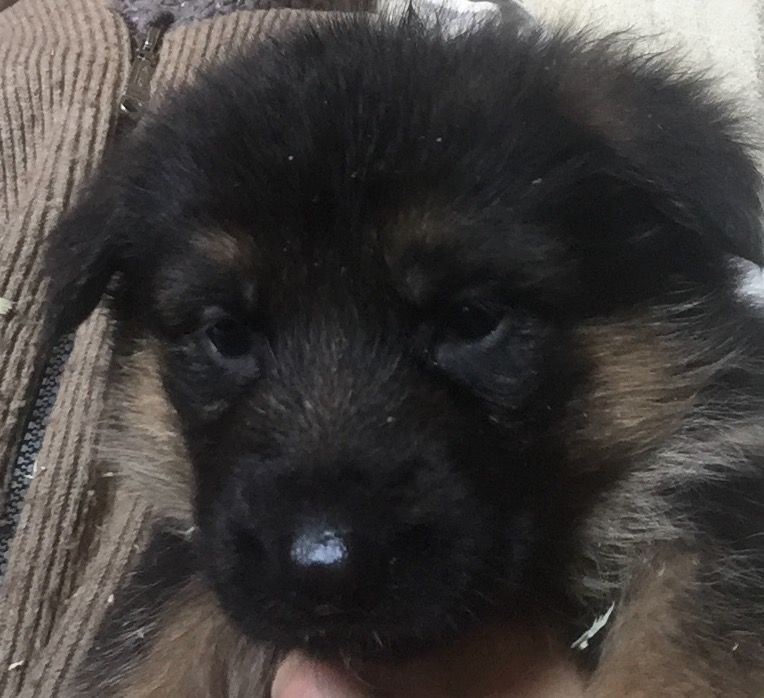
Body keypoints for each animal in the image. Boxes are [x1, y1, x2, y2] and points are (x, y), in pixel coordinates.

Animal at [47, 11, 764, 697]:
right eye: (225, 333)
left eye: (473, 319)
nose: (322, 571)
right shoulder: (193, 561)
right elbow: (155, 644)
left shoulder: (718, 486)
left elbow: (692, 636)